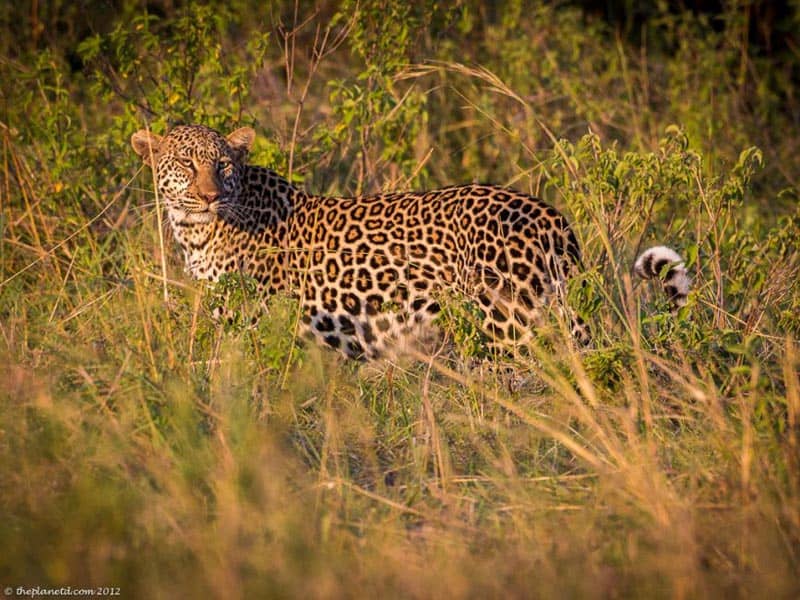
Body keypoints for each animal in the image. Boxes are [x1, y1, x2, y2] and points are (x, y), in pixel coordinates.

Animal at [130, 124, 688, 358]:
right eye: (186, 164)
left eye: (223, 165)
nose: (208, 195)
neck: (197, 231)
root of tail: (550, 215)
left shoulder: (252, 321)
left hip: (513, 322)